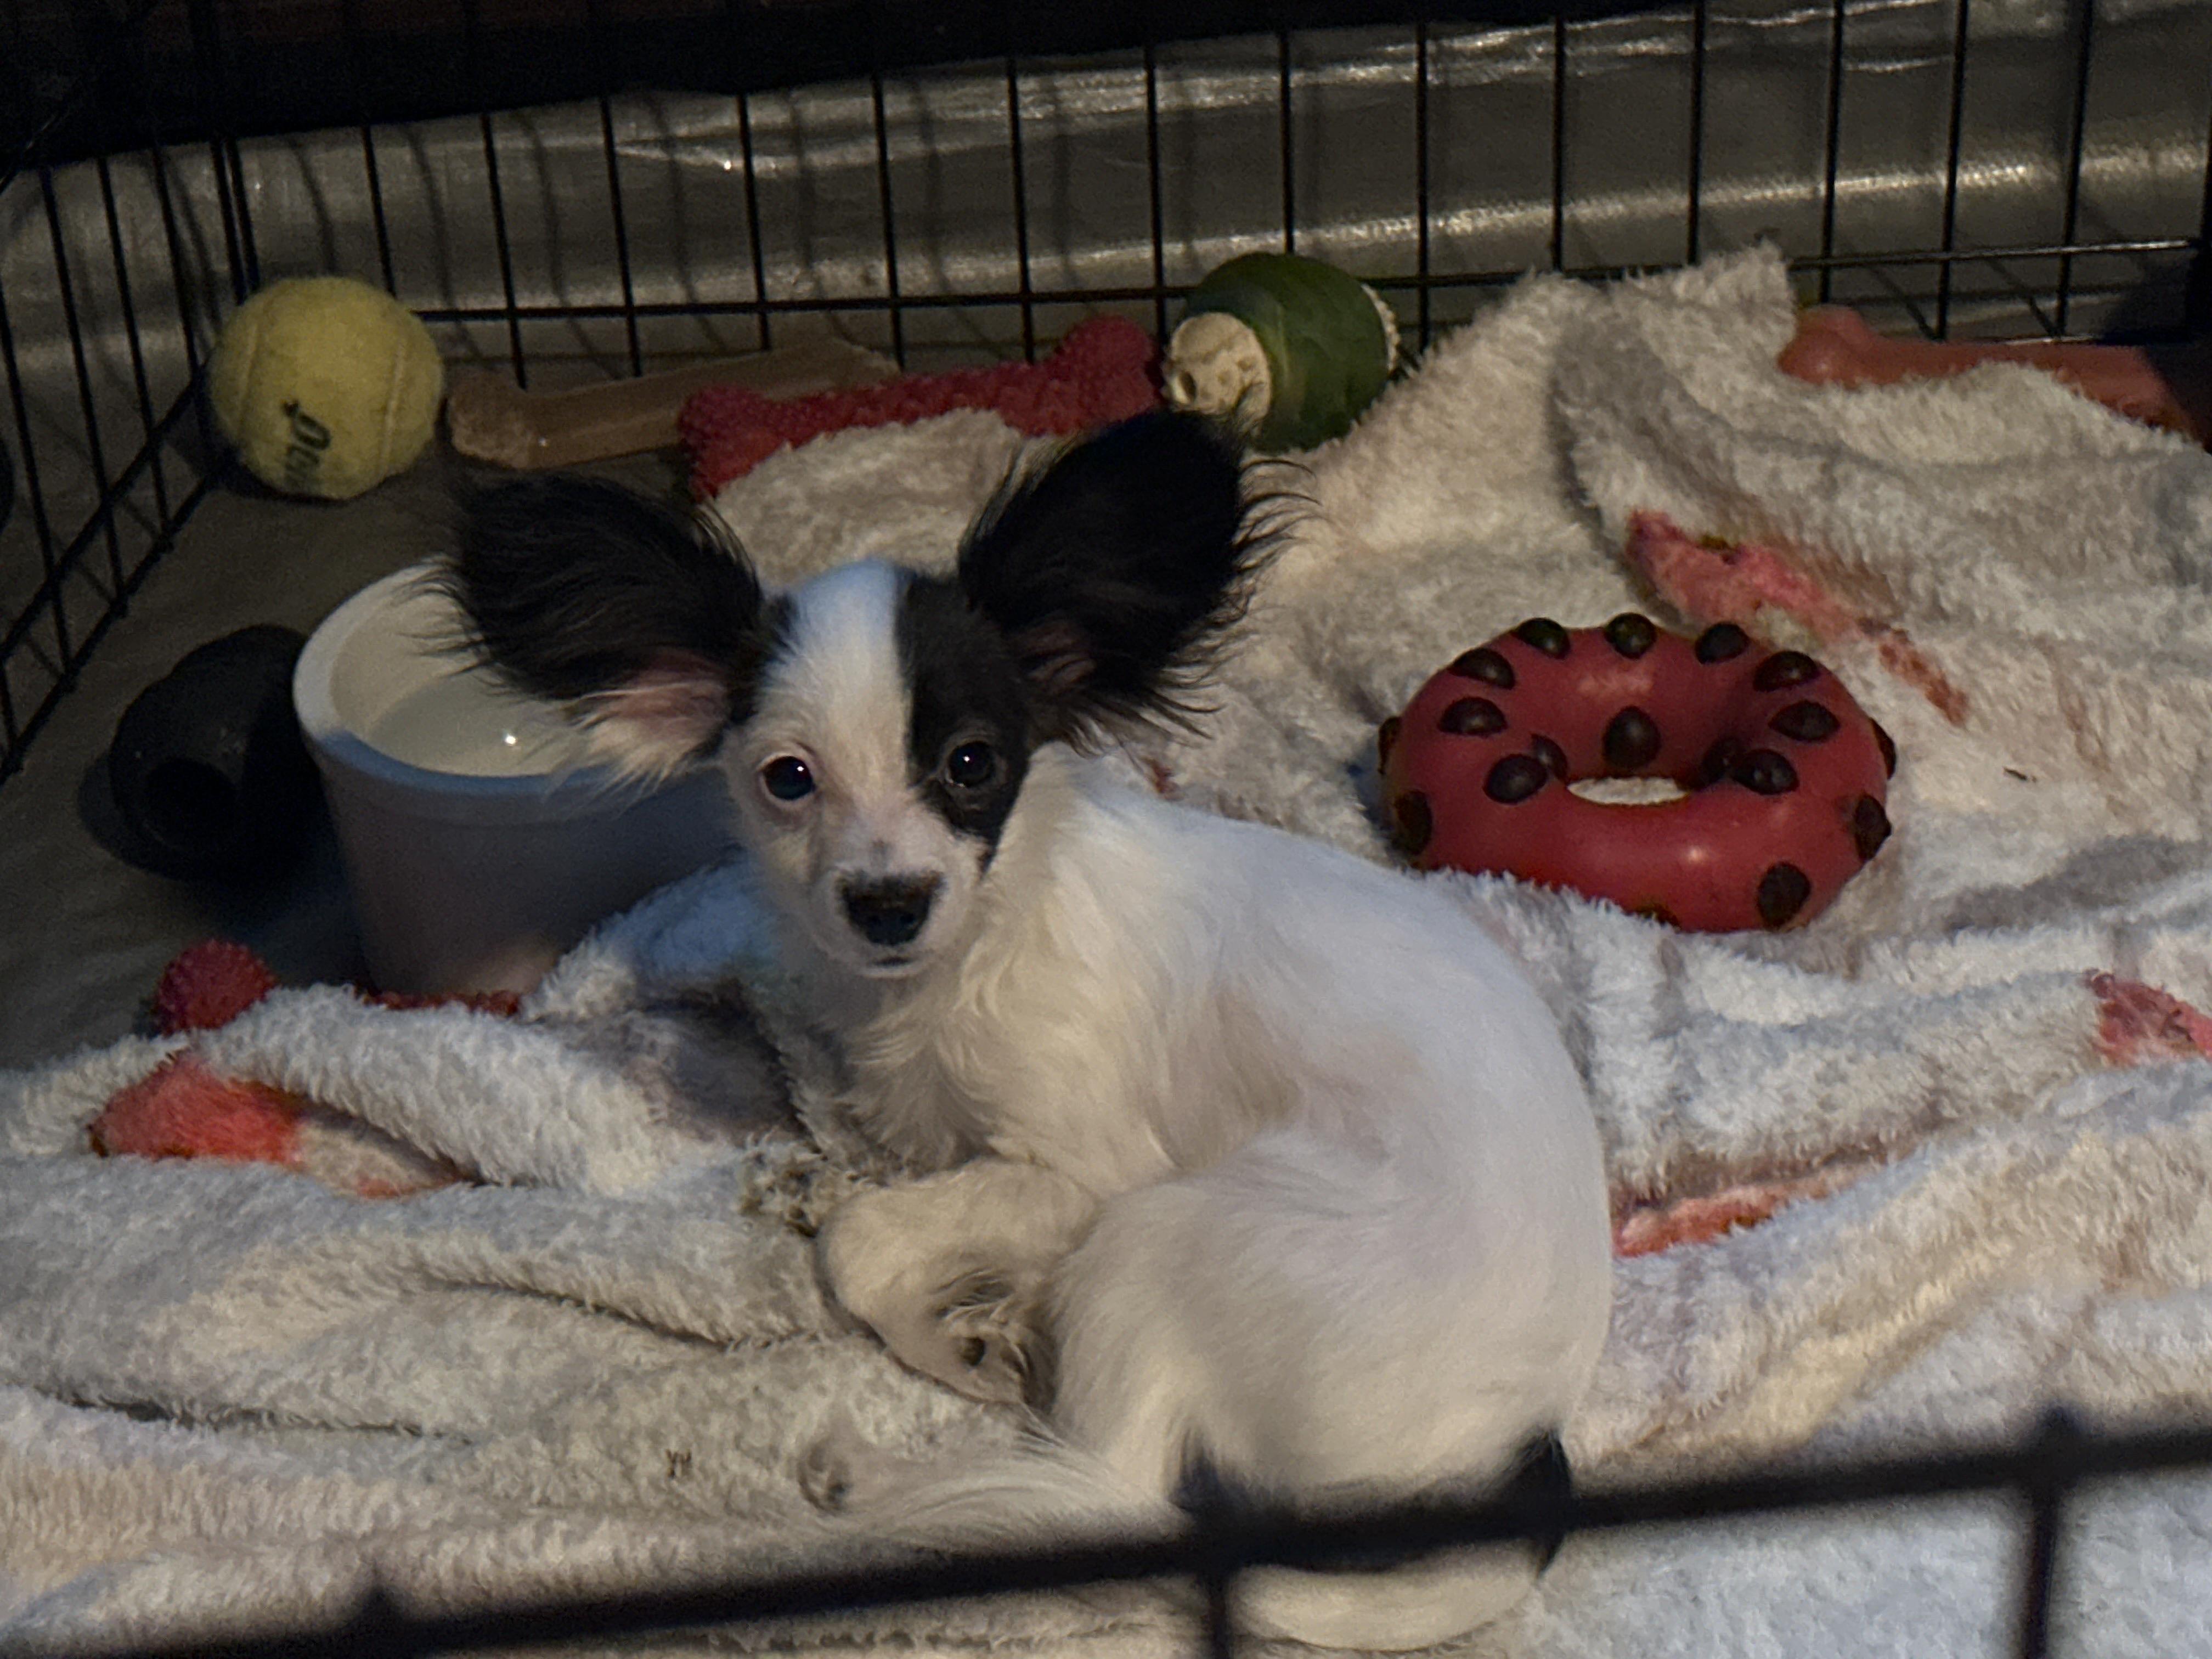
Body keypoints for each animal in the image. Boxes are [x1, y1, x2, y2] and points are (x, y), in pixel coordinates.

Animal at [442, 411, 1612, 1649]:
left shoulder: (1087, 1170)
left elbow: (861, 1246)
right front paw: (832, 1184)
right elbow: (887, 1178)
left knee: (1120, 1490)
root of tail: (1524, 1436)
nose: (888, 902)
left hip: (1157, 1238)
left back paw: (888, 1470)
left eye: (972, 764)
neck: (960, 964)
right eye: (787, 780)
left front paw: (933, 1330)